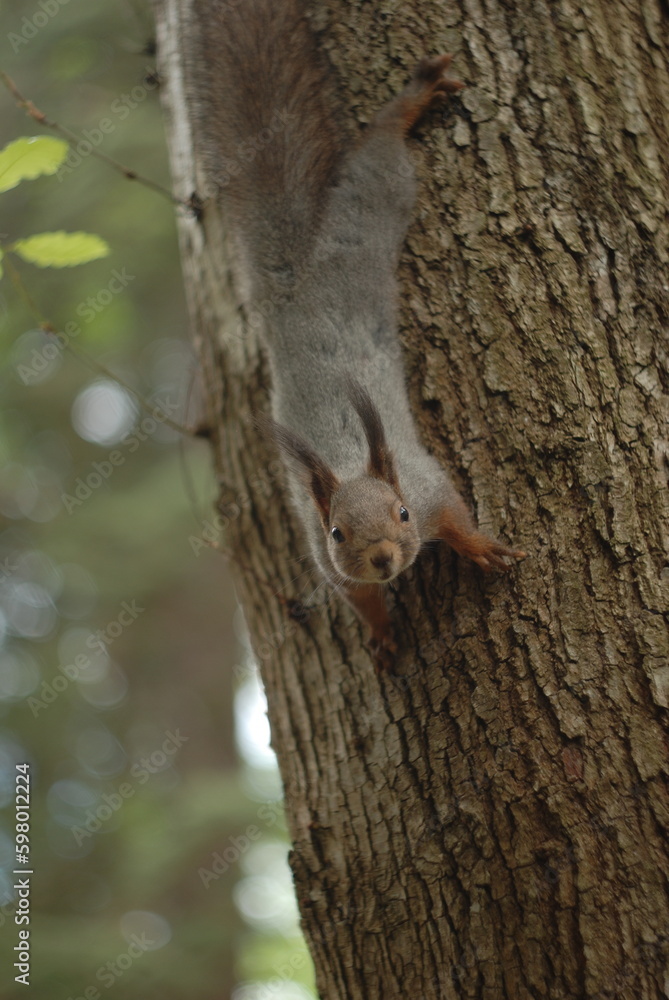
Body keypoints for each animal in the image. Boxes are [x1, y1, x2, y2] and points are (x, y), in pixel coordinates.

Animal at [199, 0, 525, 661]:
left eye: (402, 515)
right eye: (336, 532)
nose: (382, 558)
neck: (354, 465)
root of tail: (296, 281)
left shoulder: (427, 485)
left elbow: (457, 517)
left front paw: (481, 548)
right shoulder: (329, 566)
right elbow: (357, 599)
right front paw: (381, 634)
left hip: (368, 217)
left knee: (377, 160)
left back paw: (410, 101)